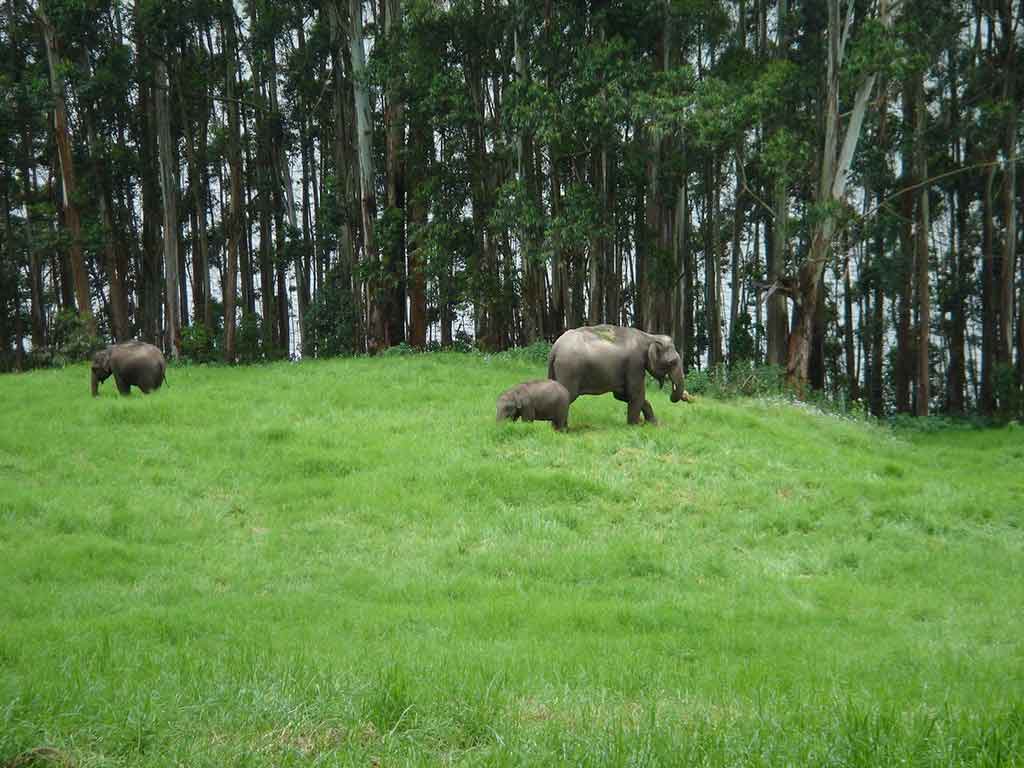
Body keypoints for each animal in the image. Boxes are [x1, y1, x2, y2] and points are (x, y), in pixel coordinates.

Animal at [548, 325, 692, 428]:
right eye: (672, 362)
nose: (686, 396)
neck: (649, 337)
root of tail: (555, 347)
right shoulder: (635, 363)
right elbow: (636, 394)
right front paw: (635, 426)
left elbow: (622, 395)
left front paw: (653, 424)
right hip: (569, 370)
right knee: (566, 396)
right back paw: (563, 429)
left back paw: (555, 428)